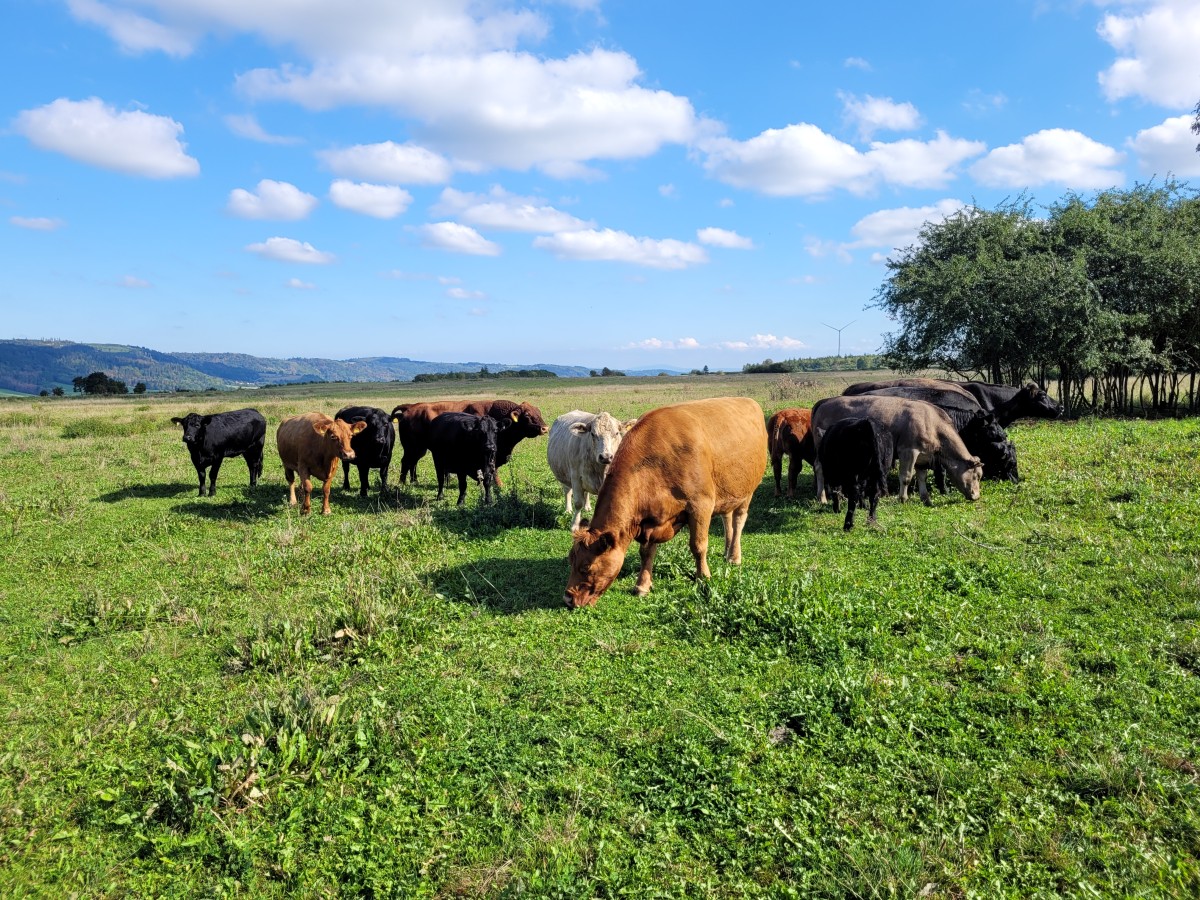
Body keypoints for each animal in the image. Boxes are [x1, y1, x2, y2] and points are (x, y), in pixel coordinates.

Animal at [564, 398, 768, 609]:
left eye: (586, 567)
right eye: (571, 560)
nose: (567, 598)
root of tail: (747, 400)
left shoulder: (700, 506)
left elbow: (698, 546)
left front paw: (703, 577)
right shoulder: (650, 519)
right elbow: (646, 552)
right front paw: (642, 585)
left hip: (747, 491)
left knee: (738, 521)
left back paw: (734, 556)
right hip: (726, 492)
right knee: (727, 519)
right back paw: (727, 552)